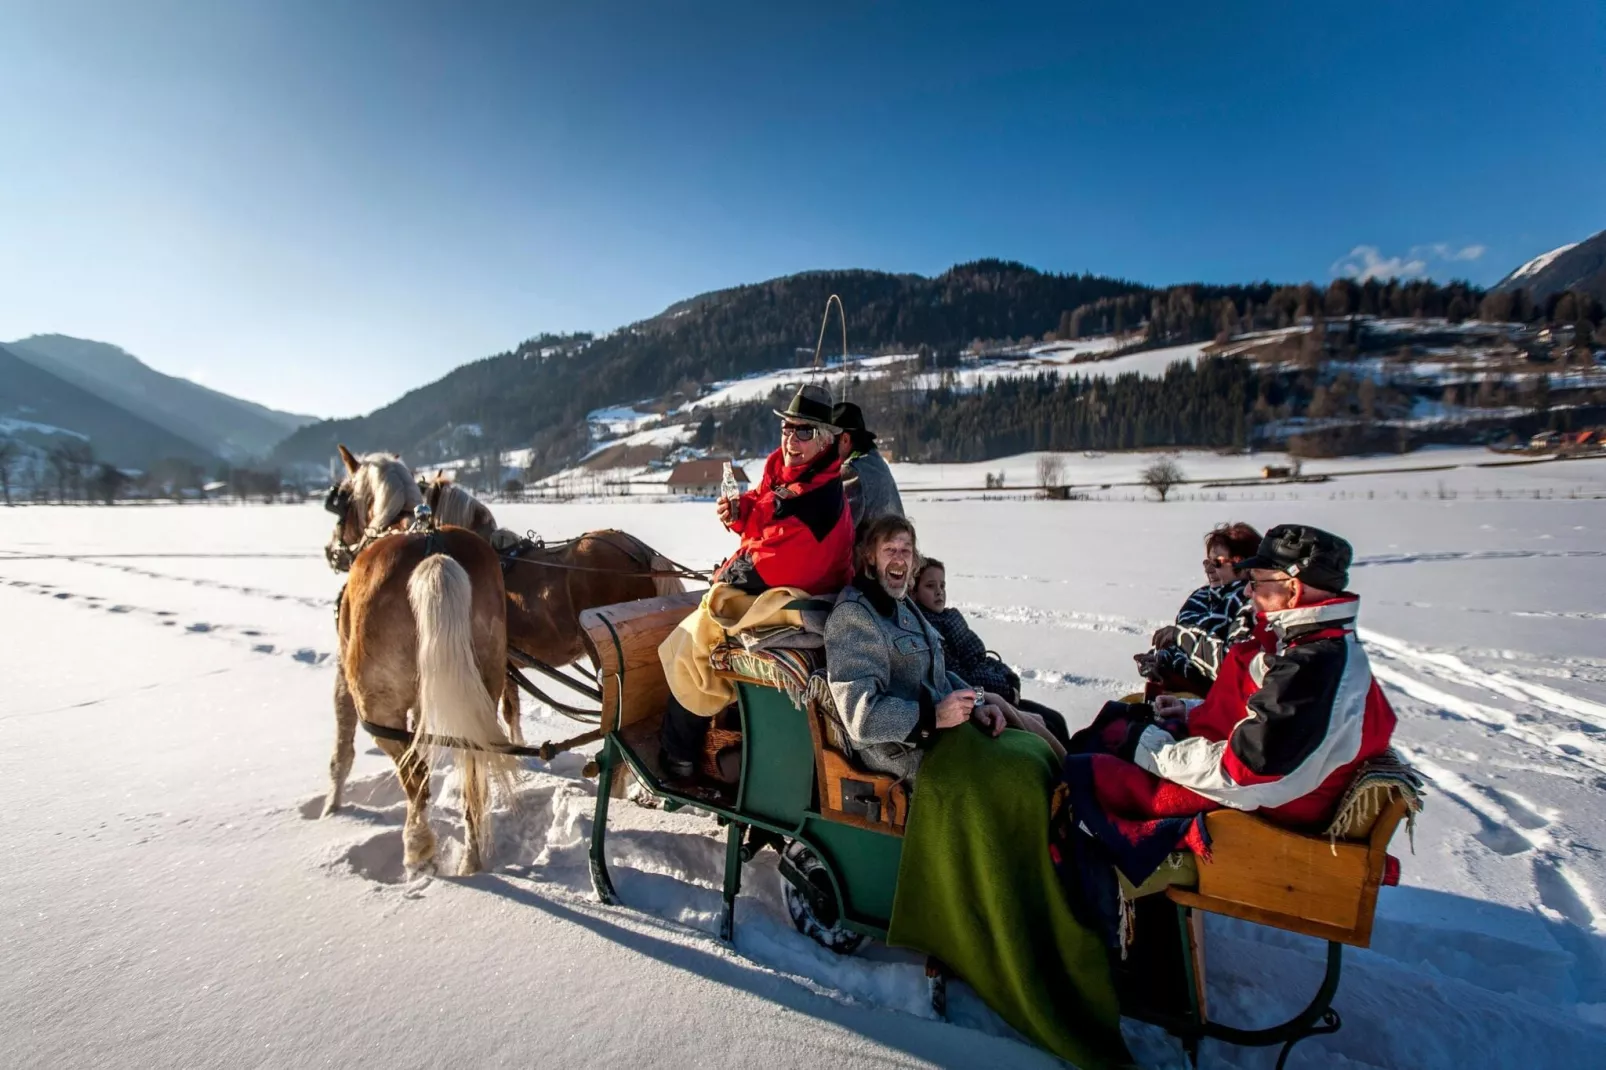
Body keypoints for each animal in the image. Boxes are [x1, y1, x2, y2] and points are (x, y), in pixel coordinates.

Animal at [316, 443, 510, 873]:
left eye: (340, 502)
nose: (331, 551)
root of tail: (433, 553)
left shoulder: (342, 677)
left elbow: (342, 750)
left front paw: (331, 807)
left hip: (379, 707)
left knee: (415, 777)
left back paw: (417, 845)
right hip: (481, 688)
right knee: (472, 774)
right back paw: (471, 858)